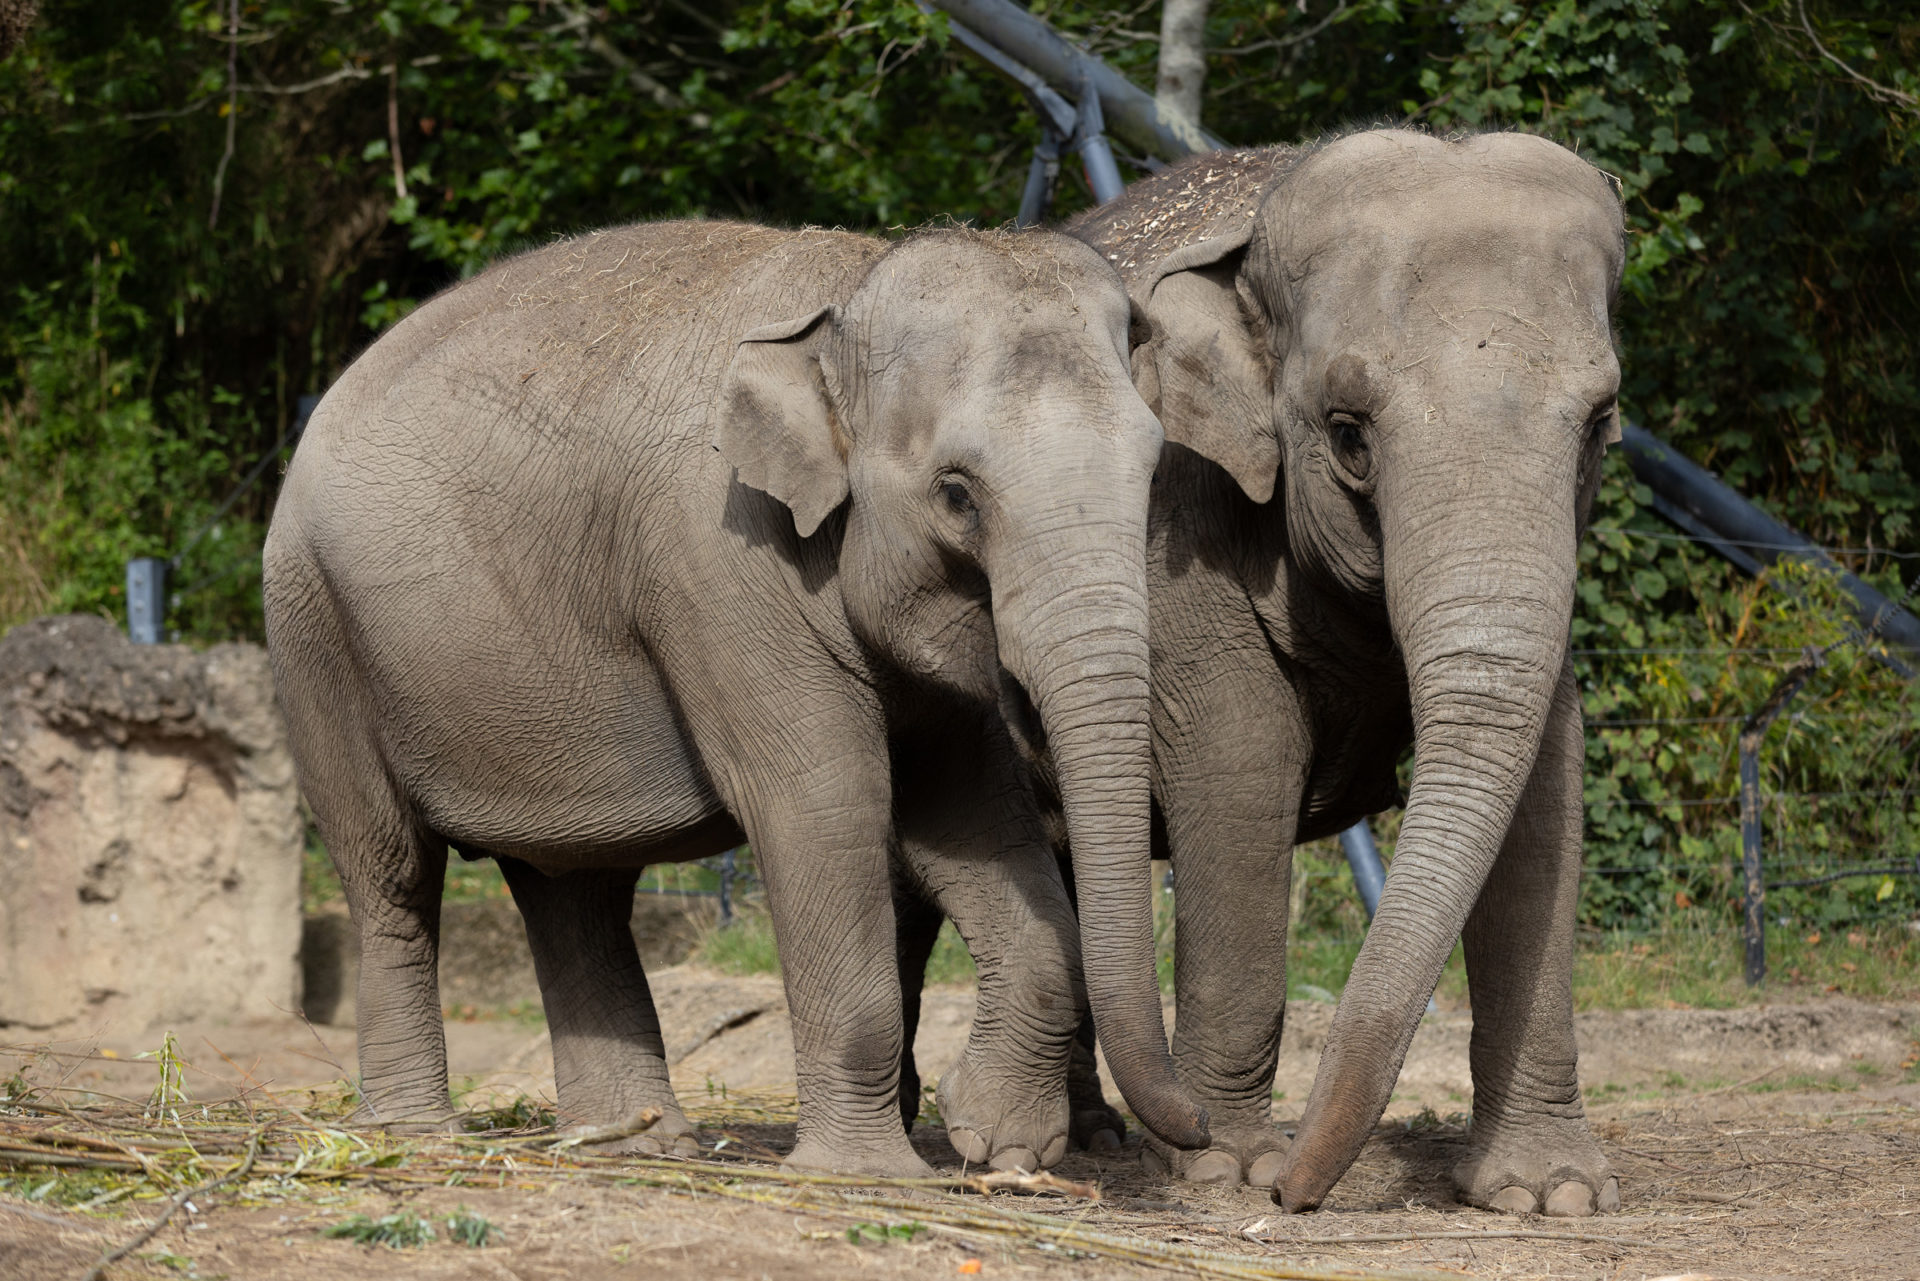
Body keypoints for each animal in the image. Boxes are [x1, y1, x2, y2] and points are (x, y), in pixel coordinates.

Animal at [263, 215, 1205, 1175]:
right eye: (956, 494)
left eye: (1153, 470)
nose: (1197, 1128)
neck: (848, 293)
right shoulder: (722, 563)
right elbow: (824, 802)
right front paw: (866, 1172)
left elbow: (970, 813)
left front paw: (1000, 1143)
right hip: (314, 633)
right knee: (392, 874)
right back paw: (412, 1135)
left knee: (573, 885)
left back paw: (636, 1142)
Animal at [898, 127, 1620, 1213]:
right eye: (1350, 434)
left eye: (1600, 425)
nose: (1297, 1190)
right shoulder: (1177, 530)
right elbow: (1240, 764)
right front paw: (1227, 1171)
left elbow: (1546, 792)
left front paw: (1549, 1194)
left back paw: (1094, 1137)